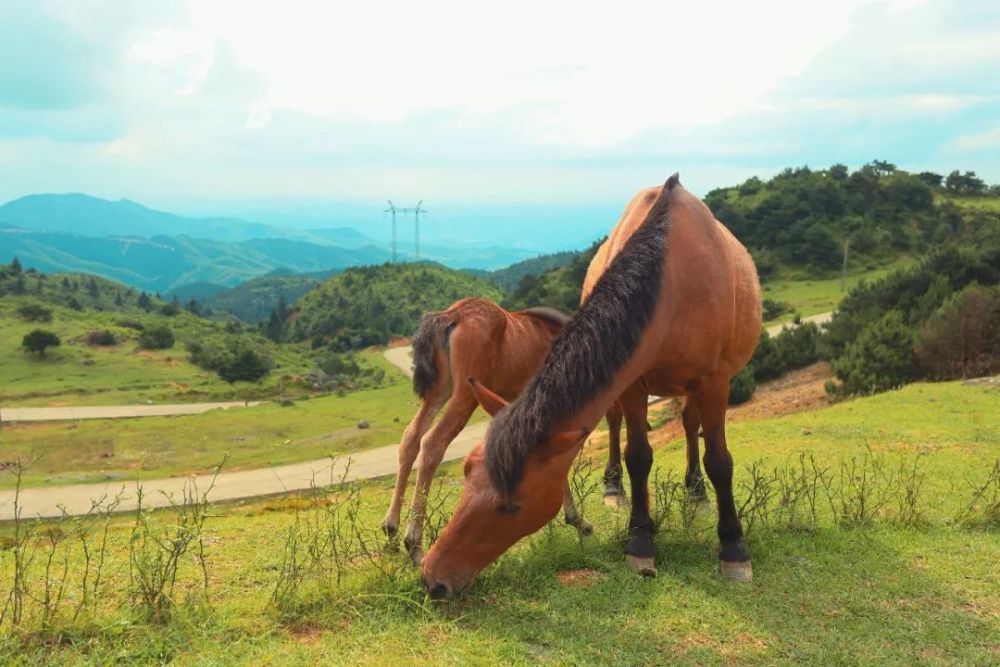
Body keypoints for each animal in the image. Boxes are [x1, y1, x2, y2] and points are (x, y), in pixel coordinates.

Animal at [382, 298, 592, 564]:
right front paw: (576, 519)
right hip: (464, 393)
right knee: (432, 443)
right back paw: (414, 545)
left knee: (411, 436)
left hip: (441, 389)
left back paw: (391, 531)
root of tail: (452, 315)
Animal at [420, 174, 756, 600]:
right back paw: (616, 488)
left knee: (690, 425)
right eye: (465, 472)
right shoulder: (631, 382)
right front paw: (640, 541)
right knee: (620, 425)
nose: (433, 578)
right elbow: (638, 457)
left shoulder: (714, 381)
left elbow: (719, 461)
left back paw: (696, 492)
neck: (673, 279)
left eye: (510, 506)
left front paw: (733, 548)